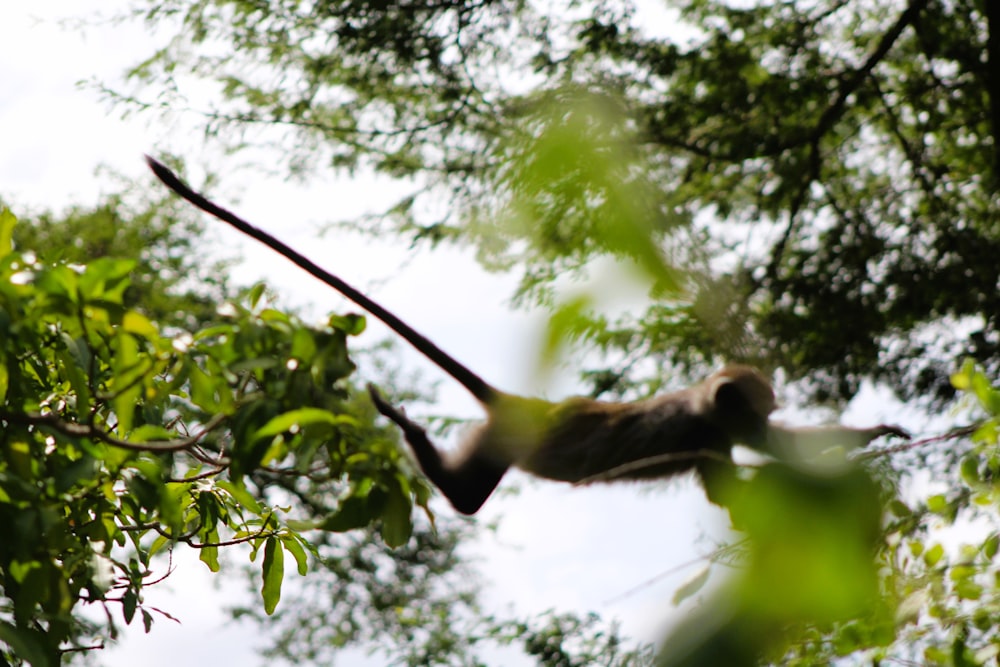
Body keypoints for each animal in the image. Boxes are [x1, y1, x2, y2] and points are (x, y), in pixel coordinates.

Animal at [146, 158, 908, 516]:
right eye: (761, 400)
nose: (766, 407)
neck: (703, 401)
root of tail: (521, 404)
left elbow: (772, 456)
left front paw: (874, 434)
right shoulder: (707, 429)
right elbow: (738, 479)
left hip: (500, 441)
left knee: (469, 497)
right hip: (510, 437)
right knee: (467, 499)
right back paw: (406, 427)